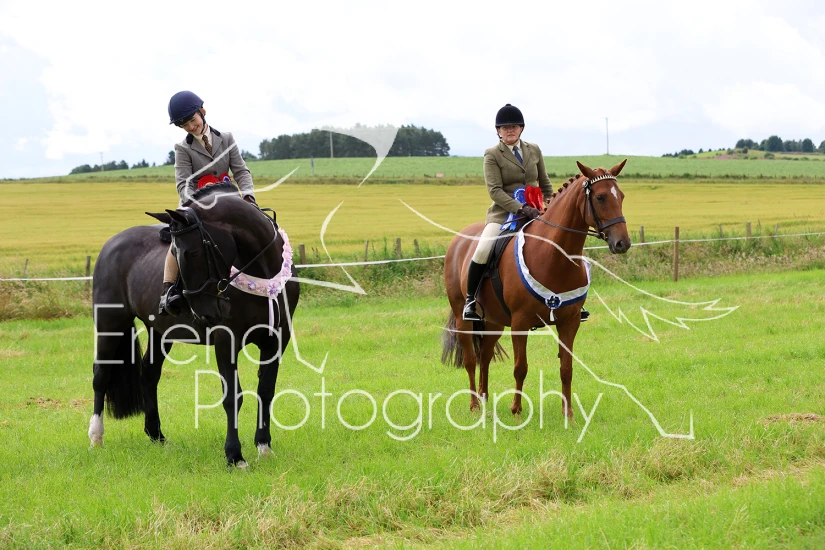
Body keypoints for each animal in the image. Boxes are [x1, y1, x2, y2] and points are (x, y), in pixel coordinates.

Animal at [88, 182, 299, 467]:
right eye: (175, 253)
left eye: (194, 252)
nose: (205, 311)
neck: (264, 272)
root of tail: (111, 244)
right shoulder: (226, 340)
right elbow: (232, 396)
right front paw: (234, 456)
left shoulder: (277, 338)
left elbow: (265, 390)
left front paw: (264, 447)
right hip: (110, 322)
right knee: (101, 374)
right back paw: (96, 437)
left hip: (160, 332)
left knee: (149, 374)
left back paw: (156, 436)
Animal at [442, 160, 630, 419]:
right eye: (600, 197)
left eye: (621, 196)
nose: (623, 243)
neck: (554, 256)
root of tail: (459, 239)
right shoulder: (520, 322)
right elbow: (520, 367)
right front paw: (516, 410)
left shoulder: (569, 322)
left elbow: (566, 368)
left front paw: (568, 414)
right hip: (464, 318)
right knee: (471, 359)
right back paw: (474, 406)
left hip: (493, 321)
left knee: (485, 356)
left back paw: (484, 398)